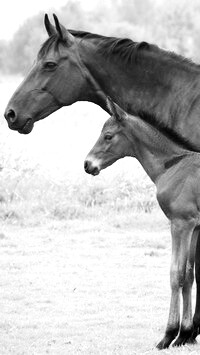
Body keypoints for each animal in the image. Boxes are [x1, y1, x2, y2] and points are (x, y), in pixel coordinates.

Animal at [84, 98, 200, 350]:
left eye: (108, 136)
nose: (87, 164)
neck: (173, 166)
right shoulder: (195, 227)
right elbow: (188, 274)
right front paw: (184, 335)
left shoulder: (180, 224)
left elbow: (176, 274)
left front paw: (168, 335)